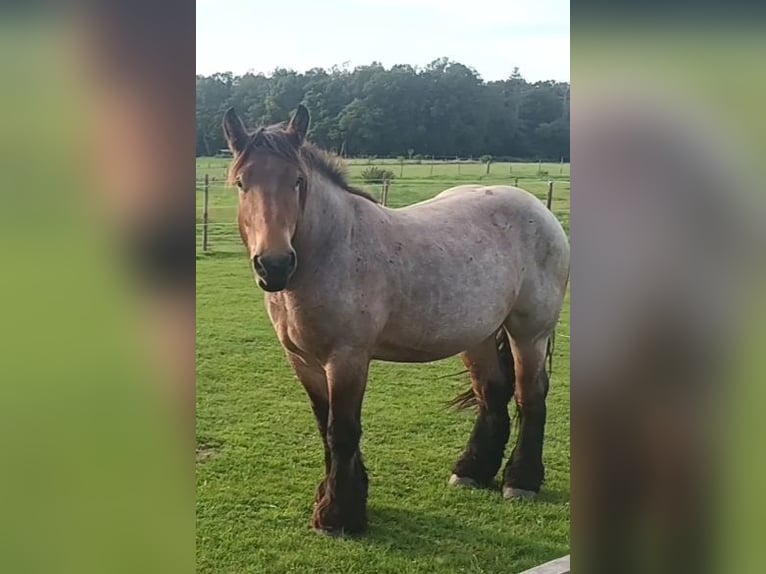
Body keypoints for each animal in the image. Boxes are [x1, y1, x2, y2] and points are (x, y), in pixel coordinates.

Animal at [222, 106, 568, 536]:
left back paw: (521, 482)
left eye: (297, 181)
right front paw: (339, 501)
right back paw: (471, 471)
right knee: (493, 392)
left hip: (529, 333)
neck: (333, 250)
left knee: (530, 395)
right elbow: (324, 427)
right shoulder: (303, 362)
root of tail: (540, 210)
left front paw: (338, 516)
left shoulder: (347, 358)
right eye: (241, 183)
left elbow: (342, 431)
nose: (274, 265)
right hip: (479, 335)